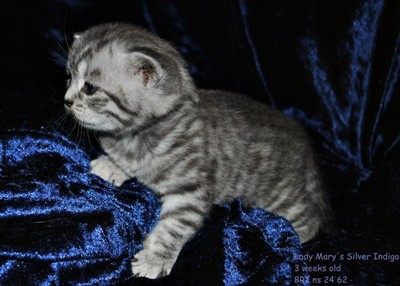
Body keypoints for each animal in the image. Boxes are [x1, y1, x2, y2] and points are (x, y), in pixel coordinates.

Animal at [65, 22, 334, 280]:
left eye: (90, 87)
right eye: (68, 77)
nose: (66, 101)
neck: (136, 136)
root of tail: (305, 144)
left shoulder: (191, 190)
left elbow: (173, 227)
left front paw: (155, 259)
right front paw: (113, 164)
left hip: (281, 195)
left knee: (310, 216)